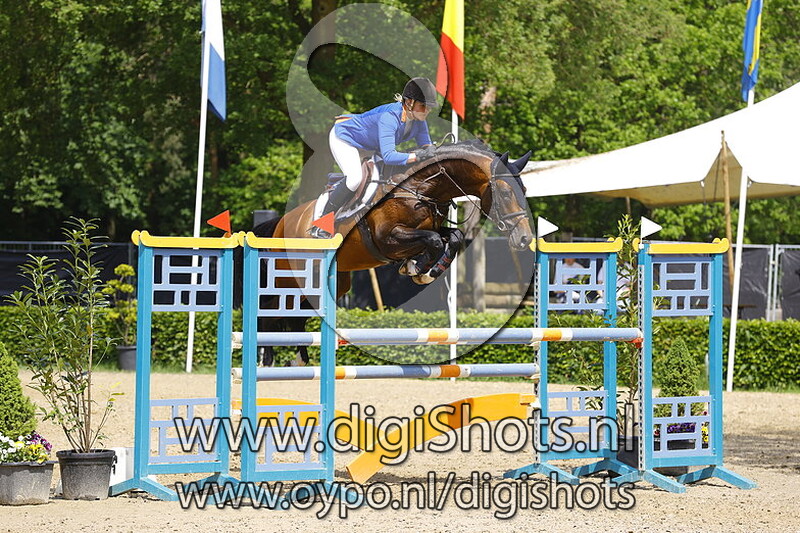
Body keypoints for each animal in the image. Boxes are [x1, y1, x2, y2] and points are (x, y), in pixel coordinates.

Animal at [253, 139, 534, 366]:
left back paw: (298, 359)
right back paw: (266, 360)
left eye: (525, 191)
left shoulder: (433, 229)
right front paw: (417, 269)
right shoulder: (388, 238)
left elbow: (452, 238)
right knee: (268, 312)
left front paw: (422, 268)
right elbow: (432, 240)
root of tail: (281, 223)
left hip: (332, 282)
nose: (525, 238)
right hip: (291, 276)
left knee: (295, 316)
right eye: (506, 193)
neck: (421, 188)